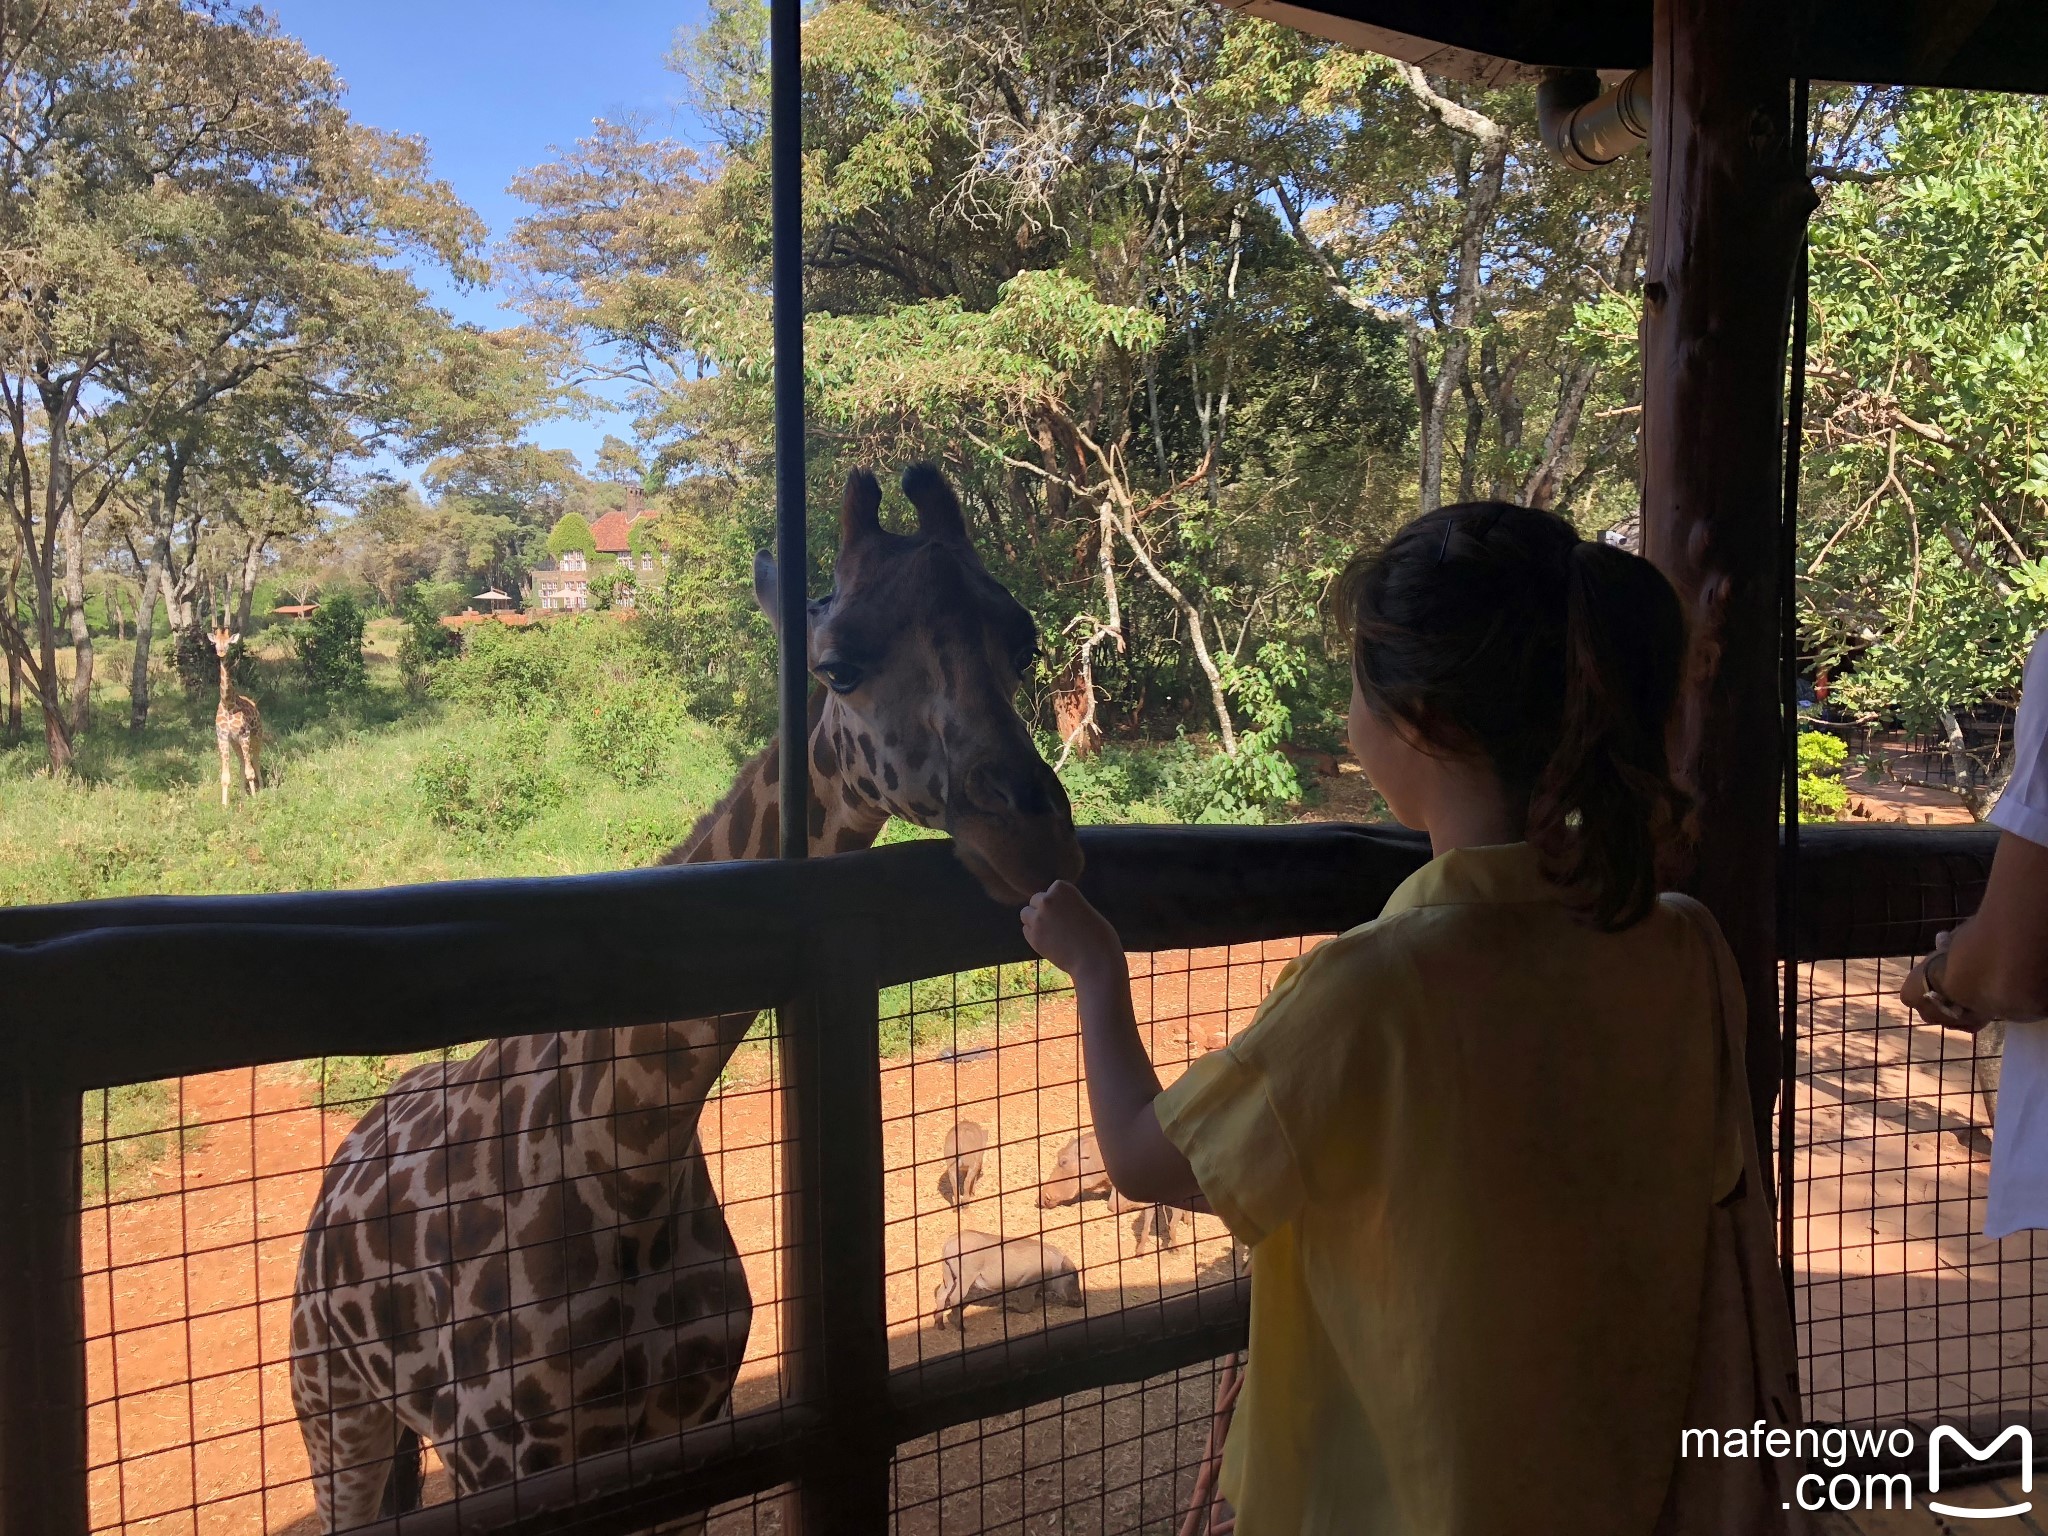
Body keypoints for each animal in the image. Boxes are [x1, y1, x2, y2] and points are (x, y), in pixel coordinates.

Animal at [208, 626, 260, 811]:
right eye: (215, 643)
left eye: (229, 643)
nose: (221, 652)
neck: (228, 705)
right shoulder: (223, 738)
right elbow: (225, 776)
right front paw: (224, 807)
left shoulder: (244, 735)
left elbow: (250, 772)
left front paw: (256, 800)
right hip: (236, 743)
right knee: (243, 763)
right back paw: (243, 799)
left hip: (256, 737)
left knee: (255, 761)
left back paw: (261, 788)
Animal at [288, 462, 1089, 1531]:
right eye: (837, 666)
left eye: (1021, 638)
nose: (1035, 840)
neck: (630, 1164)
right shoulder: (508, 1459)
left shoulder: (690, 1433)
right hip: (336, 1413)